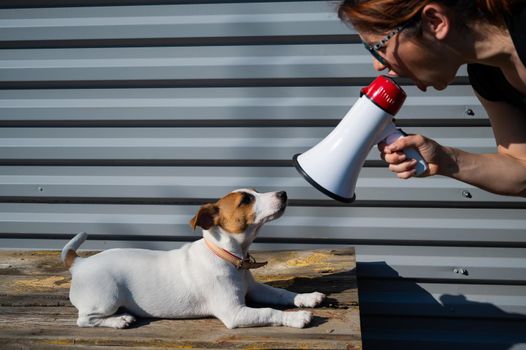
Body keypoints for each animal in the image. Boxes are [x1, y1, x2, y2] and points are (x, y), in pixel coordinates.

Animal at [62, 189, 326, 328]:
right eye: (246, 200)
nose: (283, 193)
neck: (226, 255)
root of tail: (79, 263)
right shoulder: (234, 312)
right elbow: (269, 311)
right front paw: (296, 317)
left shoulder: (254, 290)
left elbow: (280, 294)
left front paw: (307, 298)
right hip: (106, 299)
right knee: (85, 319)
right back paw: (119, 320)